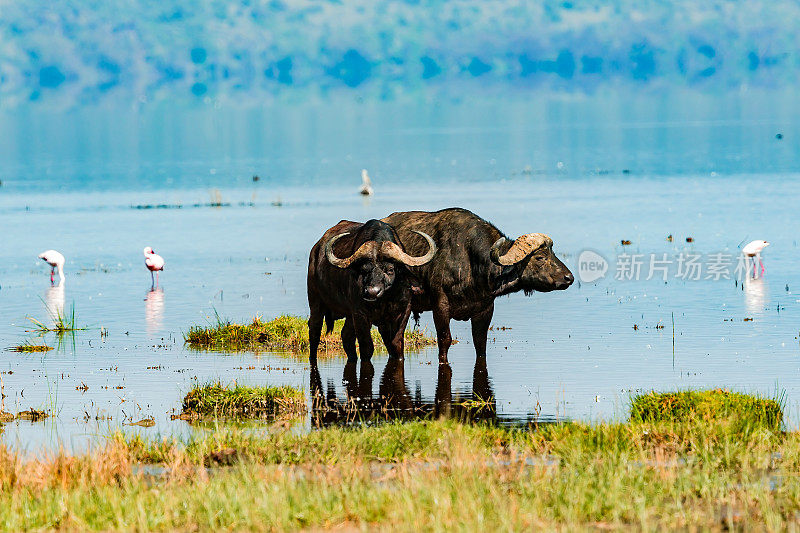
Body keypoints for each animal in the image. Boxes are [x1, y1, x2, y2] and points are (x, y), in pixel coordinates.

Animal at [308, 218, 438, 364]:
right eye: (364, 270)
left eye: (390, 269)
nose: (372, 292)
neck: (384, 300)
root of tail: (316, 249)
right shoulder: (360, 314)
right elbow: (367, 347)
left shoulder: (403, 312)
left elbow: (395, 344)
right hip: (316, 302)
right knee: (314, 331)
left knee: (346, 335)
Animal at [382, 206, 576, 364]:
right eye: (540, 257)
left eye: (553, 254)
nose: (569, 278)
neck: (471, 261)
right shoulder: (440, 306)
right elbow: (445, 340)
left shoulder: (485, 309)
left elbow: (480, 342)